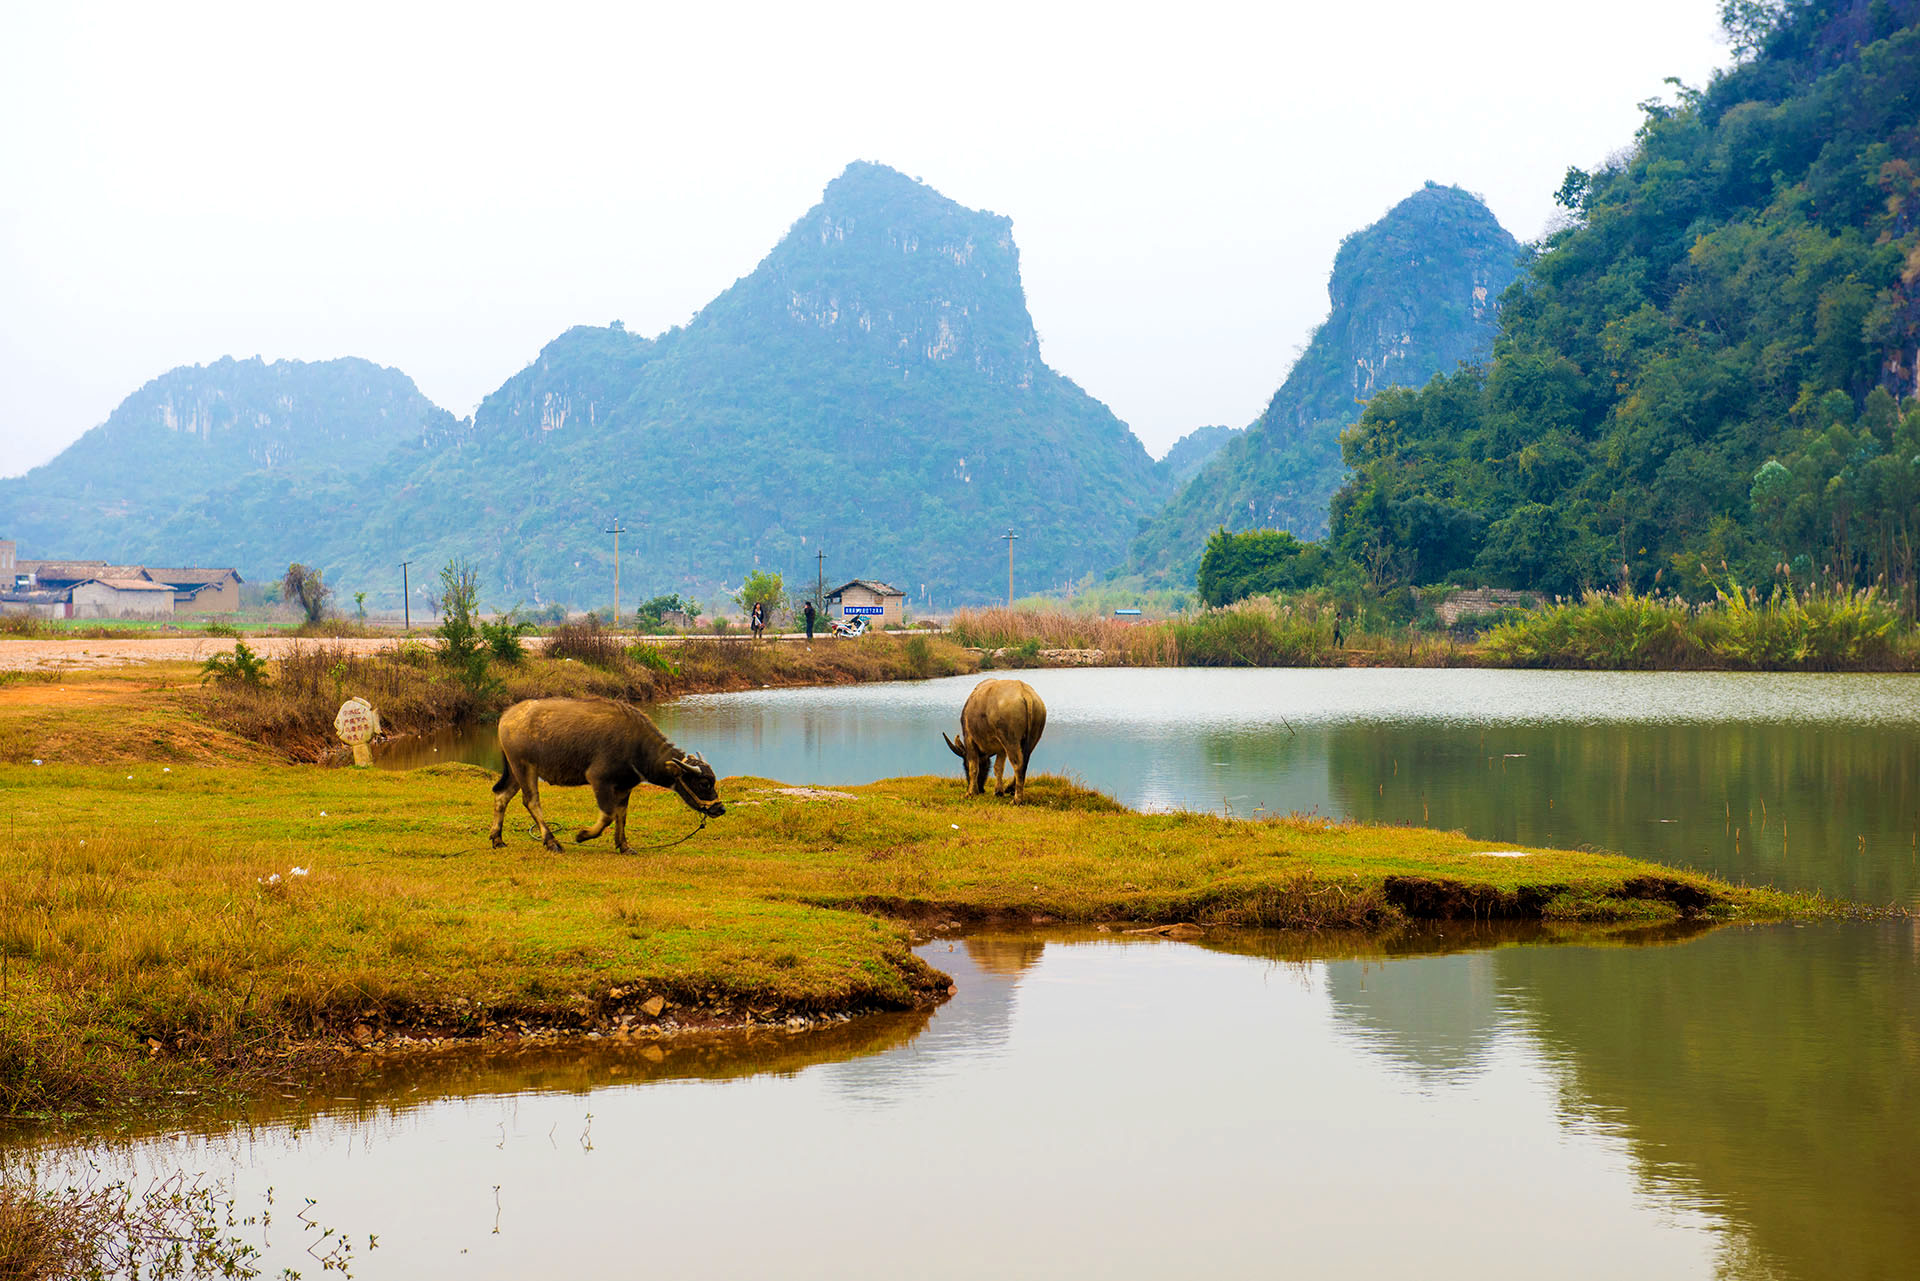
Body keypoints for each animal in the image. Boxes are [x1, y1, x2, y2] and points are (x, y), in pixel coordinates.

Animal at [491, 695, 721, 856]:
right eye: (704, 783)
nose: (720, 809)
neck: (637, 746)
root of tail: (506, 716)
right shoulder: (599, 780)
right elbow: (608, 815)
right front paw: (583, 835)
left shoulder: (625, 786)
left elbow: (621, 815)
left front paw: (624, 846)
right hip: (524, 767)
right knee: (531, 801)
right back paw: (552, 842)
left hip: (515, 770)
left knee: (502, 795)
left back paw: (497, 838)